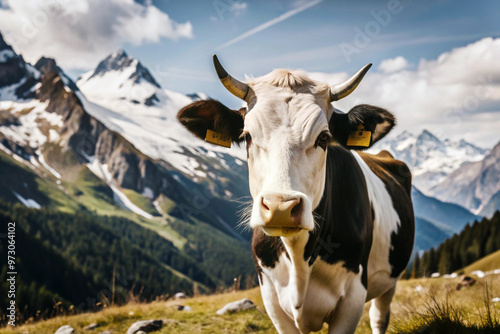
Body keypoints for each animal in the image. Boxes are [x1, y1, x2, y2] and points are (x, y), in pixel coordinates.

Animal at [176, 56, 414, 332]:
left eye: (324, 137)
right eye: (247, 136)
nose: (280, 208)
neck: (300, 259)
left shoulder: (353, 297)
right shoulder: (270, 296)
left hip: (390, 279)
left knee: (379, 316)